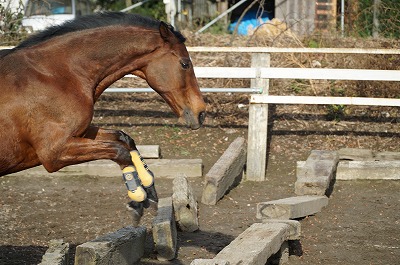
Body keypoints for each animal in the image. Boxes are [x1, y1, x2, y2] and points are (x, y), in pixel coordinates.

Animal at [0, 12, 206, 223]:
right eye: (185, 63)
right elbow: (120, 151)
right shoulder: (54, 153)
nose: (201, 113)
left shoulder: (82, 134)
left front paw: (148, 190)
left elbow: (125, 140)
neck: (57, 75)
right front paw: (137, 198)